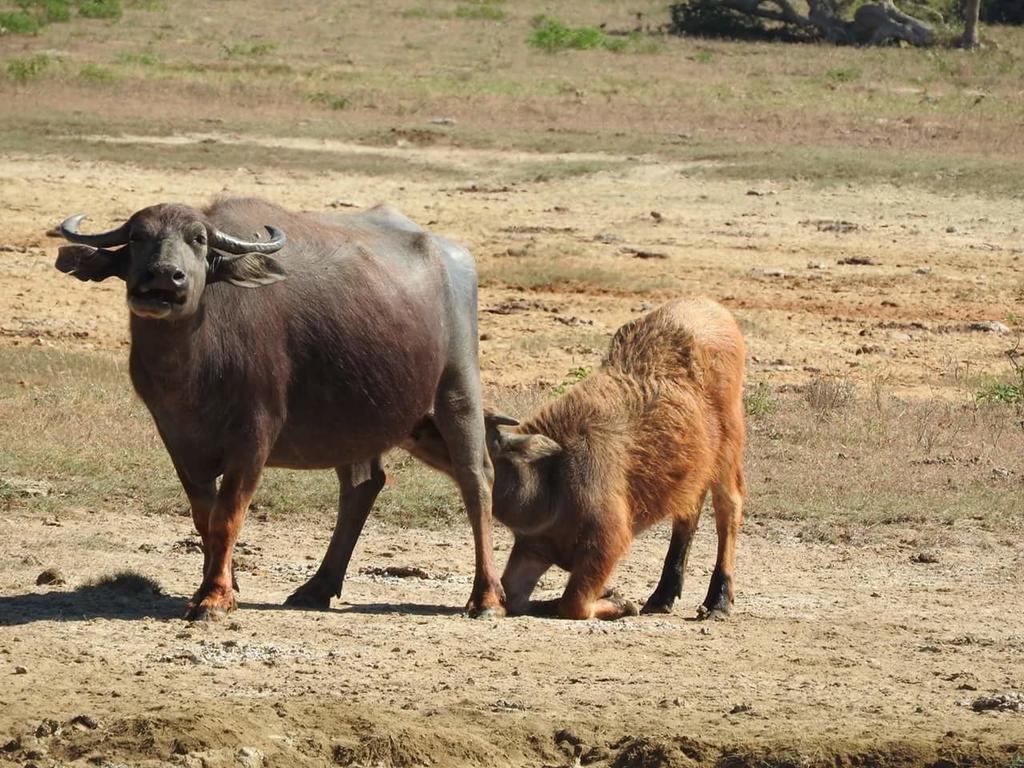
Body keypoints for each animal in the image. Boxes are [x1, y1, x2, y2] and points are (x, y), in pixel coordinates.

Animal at [55, 196, 503, 618]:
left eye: (198, 240)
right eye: (137, 237)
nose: (165, 275)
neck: (194, 366)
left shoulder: (255, 435)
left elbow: (227, 516)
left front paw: (214, 598)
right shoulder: (178, 440)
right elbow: (204, 517)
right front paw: (217, 584)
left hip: (457, 388)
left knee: (475, 478)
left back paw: (486, 597)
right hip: (355, 421)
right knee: (362, 485)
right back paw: (318, 587)